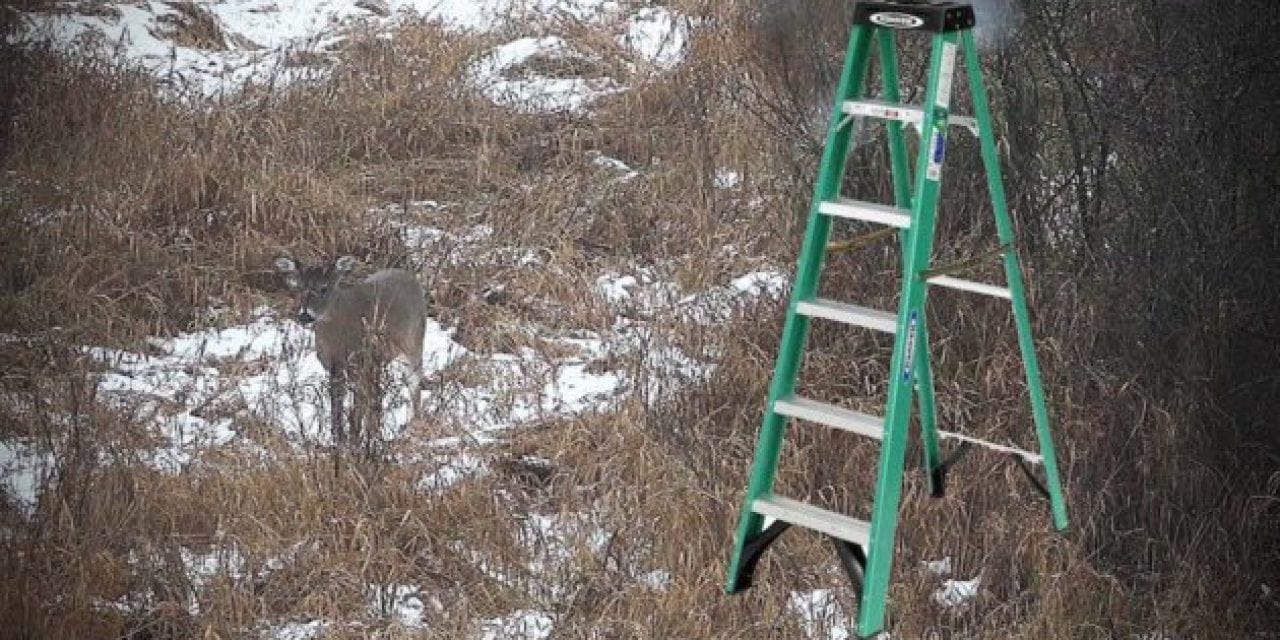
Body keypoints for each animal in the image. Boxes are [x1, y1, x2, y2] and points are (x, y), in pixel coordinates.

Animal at [276, 252, 430, 453]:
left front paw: (354, 440)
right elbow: (336, 404)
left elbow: (357, 405)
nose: (304, 315)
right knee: (376, 395)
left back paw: (412, 424)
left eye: (324, 288)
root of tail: (410, 276)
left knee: (413, 384)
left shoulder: (360, 362)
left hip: (413, 344)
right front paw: (339, 439)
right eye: (299, 287)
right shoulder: (334, 366)